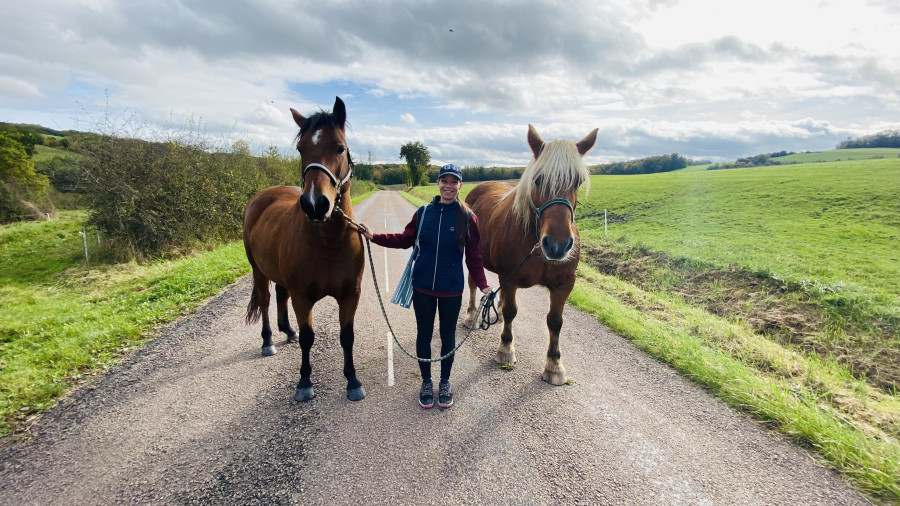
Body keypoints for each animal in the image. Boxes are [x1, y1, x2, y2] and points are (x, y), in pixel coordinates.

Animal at [242, 96, 365, 402]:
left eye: (340, 147)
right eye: (301, 148)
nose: (315, 204)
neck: (330, 241)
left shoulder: (351, 295)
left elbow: (347, 336)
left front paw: (353, 381)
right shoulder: (302, 297)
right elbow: (309, 337)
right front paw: (305, 382)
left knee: (279, 294)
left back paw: (287, 330)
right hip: (257, 269)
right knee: (265, 300)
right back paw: (268, 341)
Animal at [464, 124, 598, 385]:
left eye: (577, 181)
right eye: (538, 179)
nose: (557, 245)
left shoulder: (564, 284)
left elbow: (555, 322)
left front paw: (554, 365)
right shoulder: (510, 279)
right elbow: (511, 312)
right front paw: (506, 349)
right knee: (473, 283)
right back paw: (472, 315)